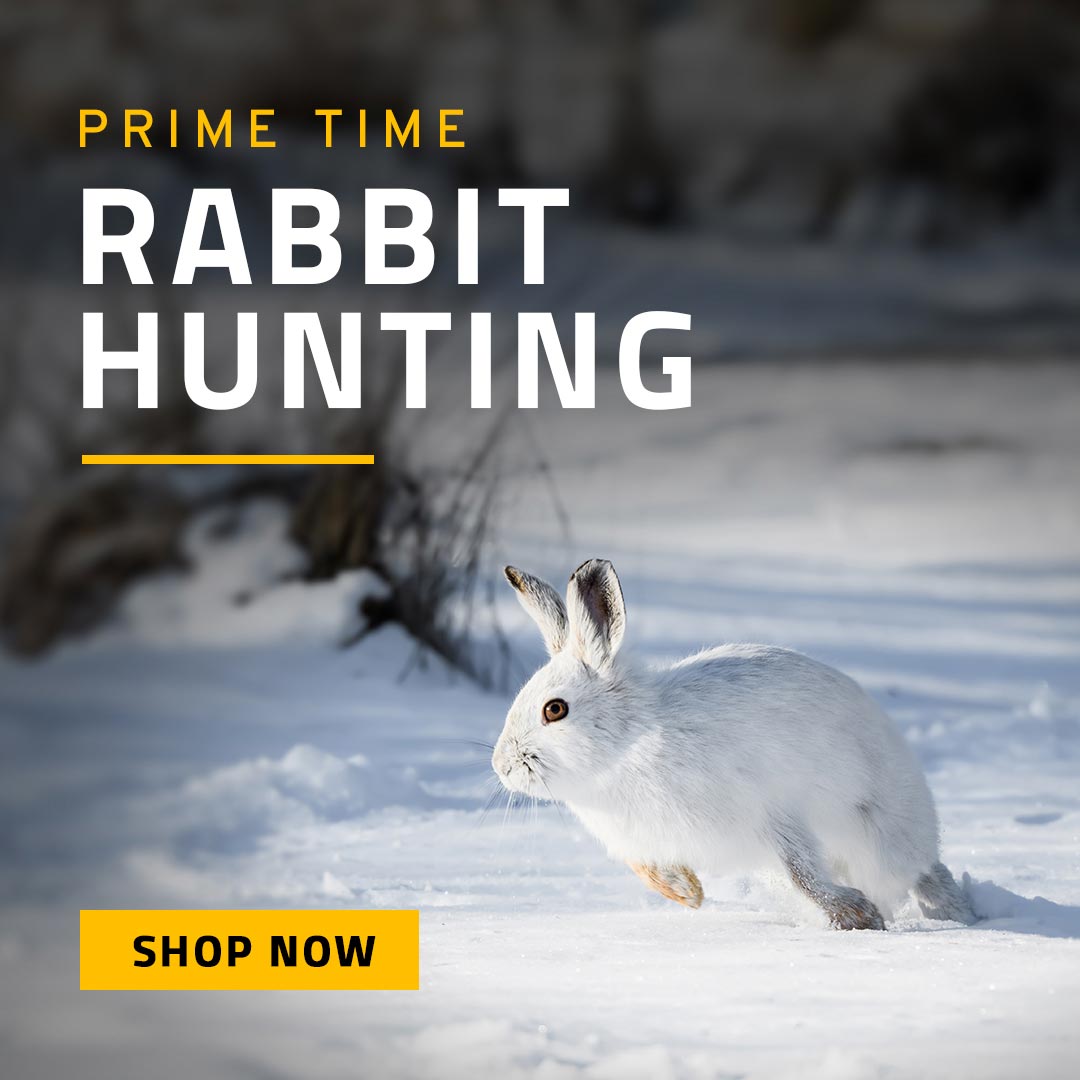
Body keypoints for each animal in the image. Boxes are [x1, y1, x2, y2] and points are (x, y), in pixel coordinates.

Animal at [492, 558, 976, 930]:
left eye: (555, 710)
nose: (502, 766)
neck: (627, 747)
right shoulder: (643, 845)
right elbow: (652, 871)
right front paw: (689, 894)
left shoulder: (773, 812)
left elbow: (802, 872)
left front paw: (858, 916)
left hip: (882, 831)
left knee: (924, 870)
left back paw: (960, 913)